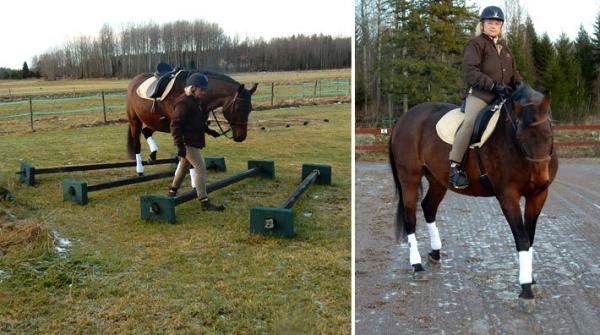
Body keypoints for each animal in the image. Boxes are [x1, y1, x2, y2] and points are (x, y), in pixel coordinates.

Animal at [126, 71, 258, 176]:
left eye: (250, 109)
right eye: (238, 109)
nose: (241, 137)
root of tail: (134, 81)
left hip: (156, 122)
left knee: (146, 131)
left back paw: (152, 155)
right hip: (135, 121)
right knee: (137, 144)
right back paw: (140, 169)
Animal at [390, 84, 556, 316]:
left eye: (549, 133)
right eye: (520, 137)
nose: (540, 180)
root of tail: (405, 118)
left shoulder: (538, 196)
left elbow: (529, 238)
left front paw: (530, 280)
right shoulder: (508, 196)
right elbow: (522, 239)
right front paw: (525, 292)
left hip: (438, 180)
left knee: (429, 207)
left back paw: (435, 253)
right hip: (409, 177)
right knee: (410, 218)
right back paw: (417, 266)